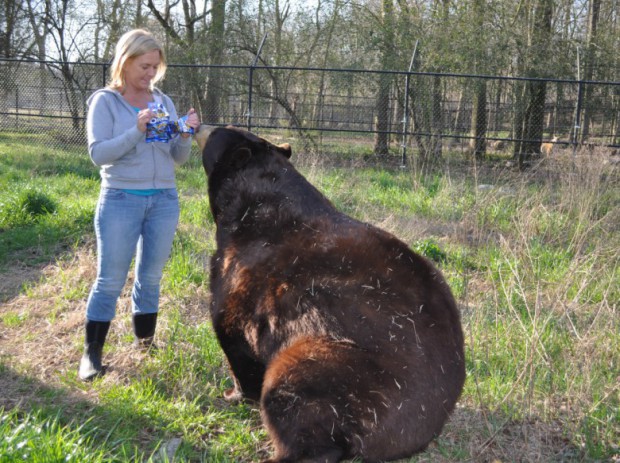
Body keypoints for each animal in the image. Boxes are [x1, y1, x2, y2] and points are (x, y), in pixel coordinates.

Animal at [195, 125, 464, 463]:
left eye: (217, 131)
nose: (197, 124)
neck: (251, 205)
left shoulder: (242, 276)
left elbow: (235, 337)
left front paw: (233, 393)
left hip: (344, 371)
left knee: (296, 395)